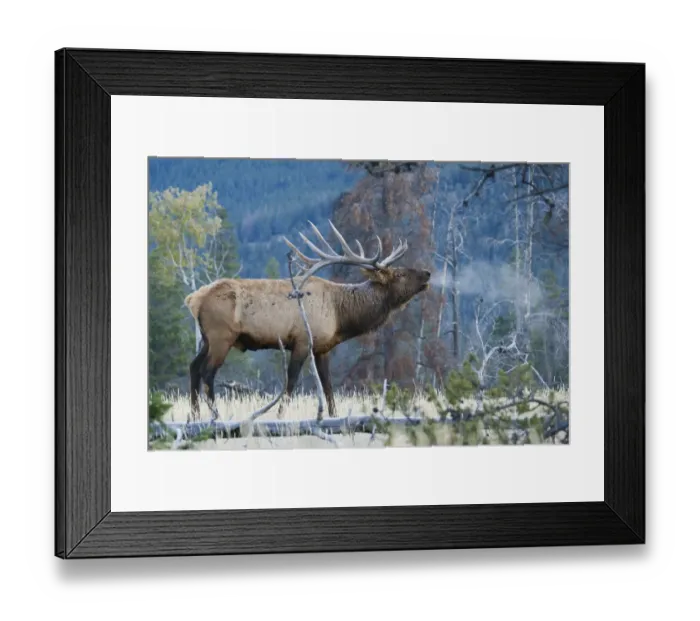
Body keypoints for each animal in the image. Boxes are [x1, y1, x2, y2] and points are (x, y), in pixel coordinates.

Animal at [184, 220, 431, 423]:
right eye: (399, 274)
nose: (427, 273)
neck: (340, 315)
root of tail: (194, 299)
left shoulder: (322, 348)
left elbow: (328, 386)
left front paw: (334, 417)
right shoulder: (303, 340)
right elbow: (291, 382)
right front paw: (280, 416)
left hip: (206, 339)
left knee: (194, 366)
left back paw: (194, 416)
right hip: (221, 337)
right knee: (207, 372)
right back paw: (215, 416)